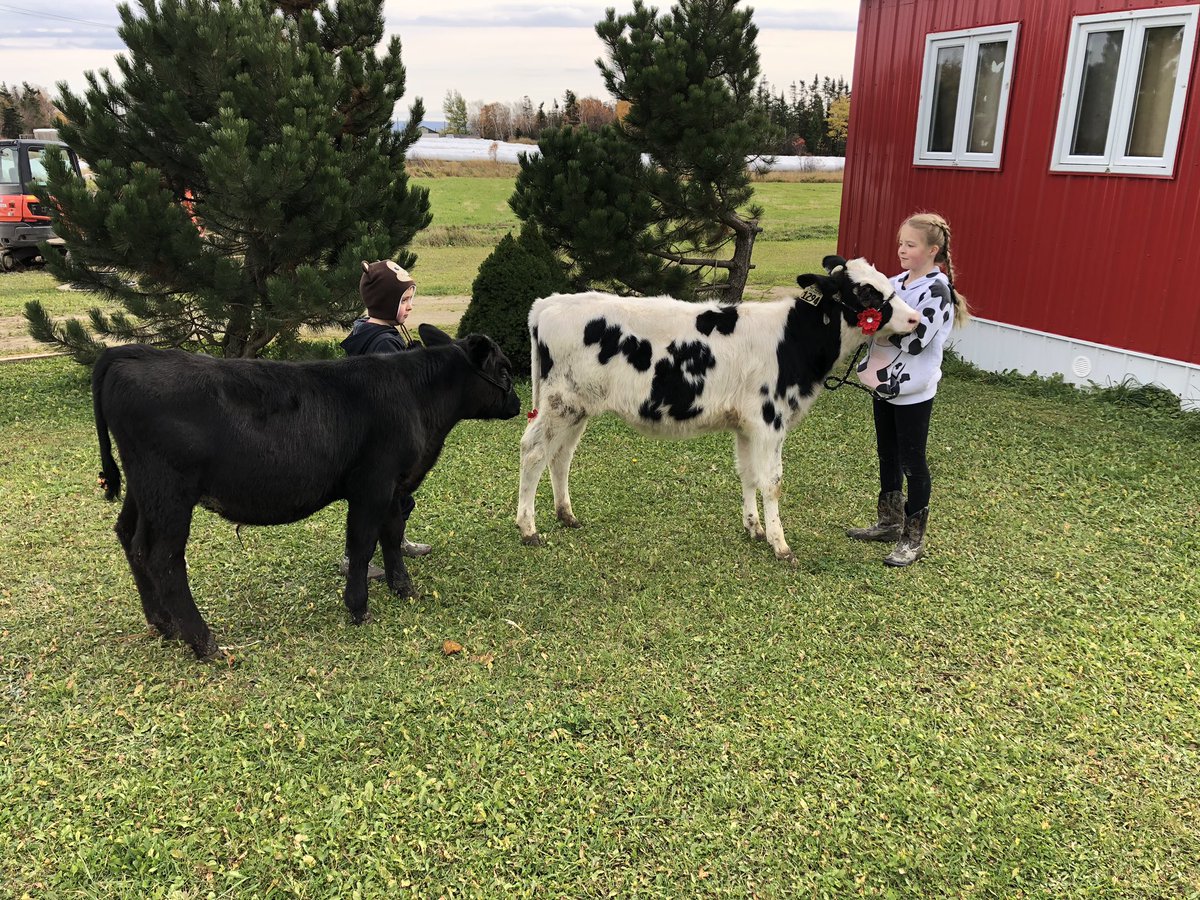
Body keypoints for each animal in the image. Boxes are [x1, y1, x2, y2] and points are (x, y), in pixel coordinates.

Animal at [92, 324, 520, 659]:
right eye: (504, 369)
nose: (518, 403)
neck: (416, 397)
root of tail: (133, 354)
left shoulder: (394, 484)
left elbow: (392, 535)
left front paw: (403, 588)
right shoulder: (373, 483)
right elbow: (362, 544)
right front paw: (358, 608)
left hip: (143, 489)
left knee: (131, 539)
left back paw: (163, 625)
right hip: (170, 491)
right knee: (163, 558)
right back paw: (204, 643)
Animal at [515, 255, 921, 562]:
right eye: (865, 291)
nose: (915, 319)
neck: (792, 339)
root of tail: (547, 304)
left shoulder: (746, 425)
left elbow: (747, 474)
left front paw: (754, 527)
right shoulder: (769, 420)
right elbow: (772, 482)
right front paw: (780, 544)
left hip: (576, 408)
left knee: (560, 457)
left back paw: (566, 515)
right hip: (559, 404)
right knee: (534, 452)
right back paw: (528, 528)